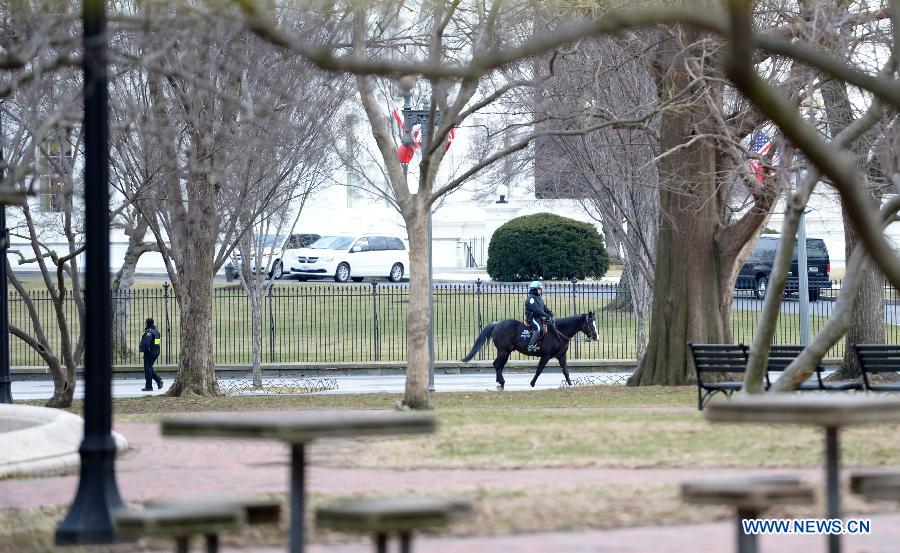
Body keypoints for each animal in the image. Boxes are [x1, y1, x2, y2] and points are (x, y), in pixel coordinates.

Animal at [464, 310, 596, 388]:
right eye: (590, 323)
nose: (596, 336)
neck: (558, 331)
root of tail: (497, 324)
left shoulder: (561, 355)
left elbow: (565, 371)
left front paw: (570, 384)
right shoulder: (546, 356)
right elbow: (539, 370)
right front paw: (532, 383)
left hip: (504, 352)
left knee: (498, 365)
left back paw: (499, 382)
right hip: (504, 351)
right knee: (497, 365)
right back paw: (501, 383)